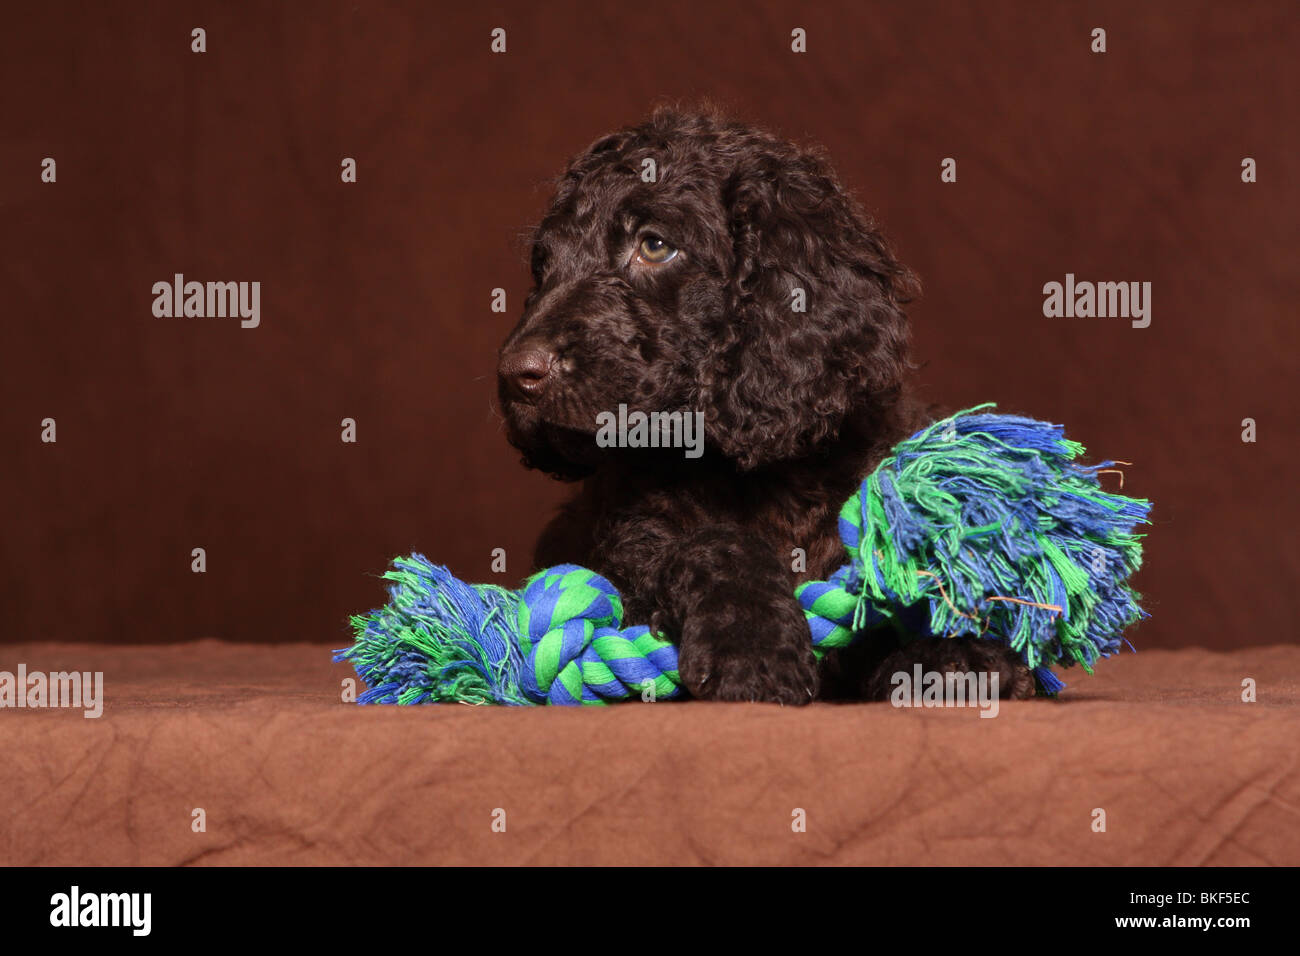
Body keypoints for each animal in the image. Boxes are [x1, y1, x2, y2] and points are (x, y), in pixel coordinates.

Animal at [496, 106, 1034, 702]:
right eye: (544, 264)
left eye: (655, 246)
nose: (517, 373)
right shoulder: (633, 541)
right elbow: (715, 542)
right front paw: (751, 644)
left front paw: (957, 649)